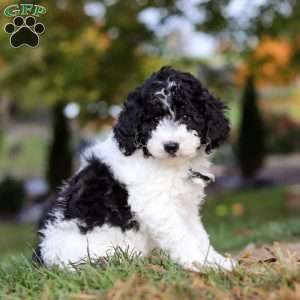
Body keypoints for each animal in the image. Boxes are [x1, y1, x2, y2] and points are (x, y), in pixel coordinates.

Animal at [34, 66, 236, 272]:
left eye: (187, 117)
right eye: (154, 120)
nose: (171, 146)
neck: (169, 164)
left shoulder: (186, 205)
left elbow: (199, 234)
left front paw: (217, 261)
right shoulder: (156, 204)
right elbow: (180, 234)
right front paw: (197, 261)